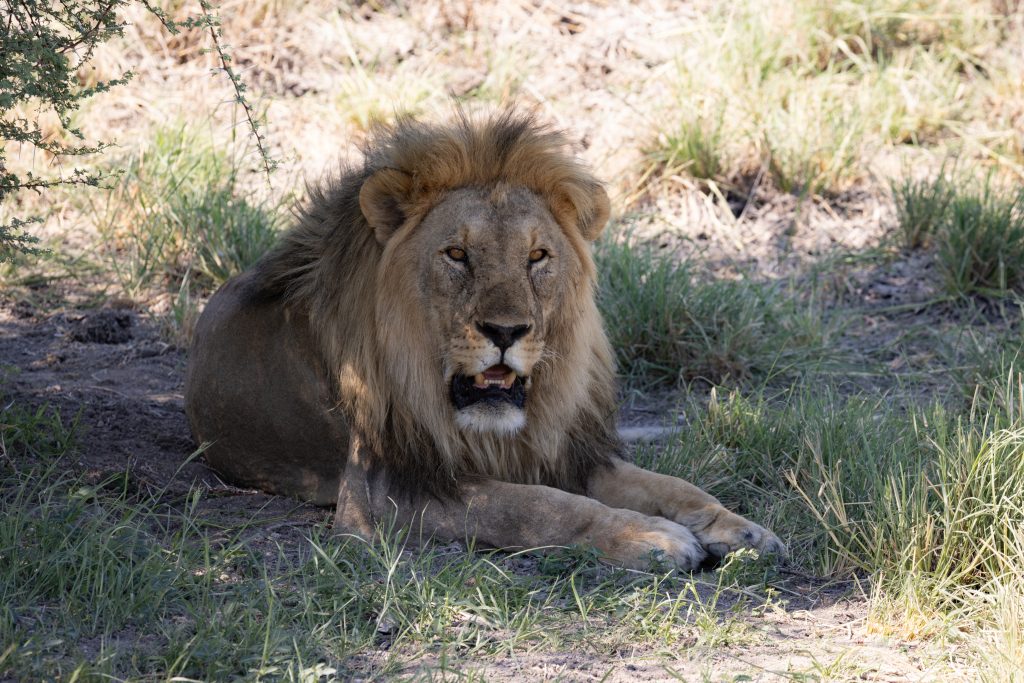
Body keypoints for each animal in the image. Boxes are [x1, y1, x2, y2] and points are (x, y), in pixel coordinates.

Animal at [184, 109, 784, 570]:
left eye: (537, 256)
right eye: (457, 254)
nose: (505, 331)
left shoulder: (567, 453)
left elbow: (673, 486)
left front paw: (741, 529)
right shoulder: (384, 492)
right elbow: (540, 508)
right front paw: (652, 537)